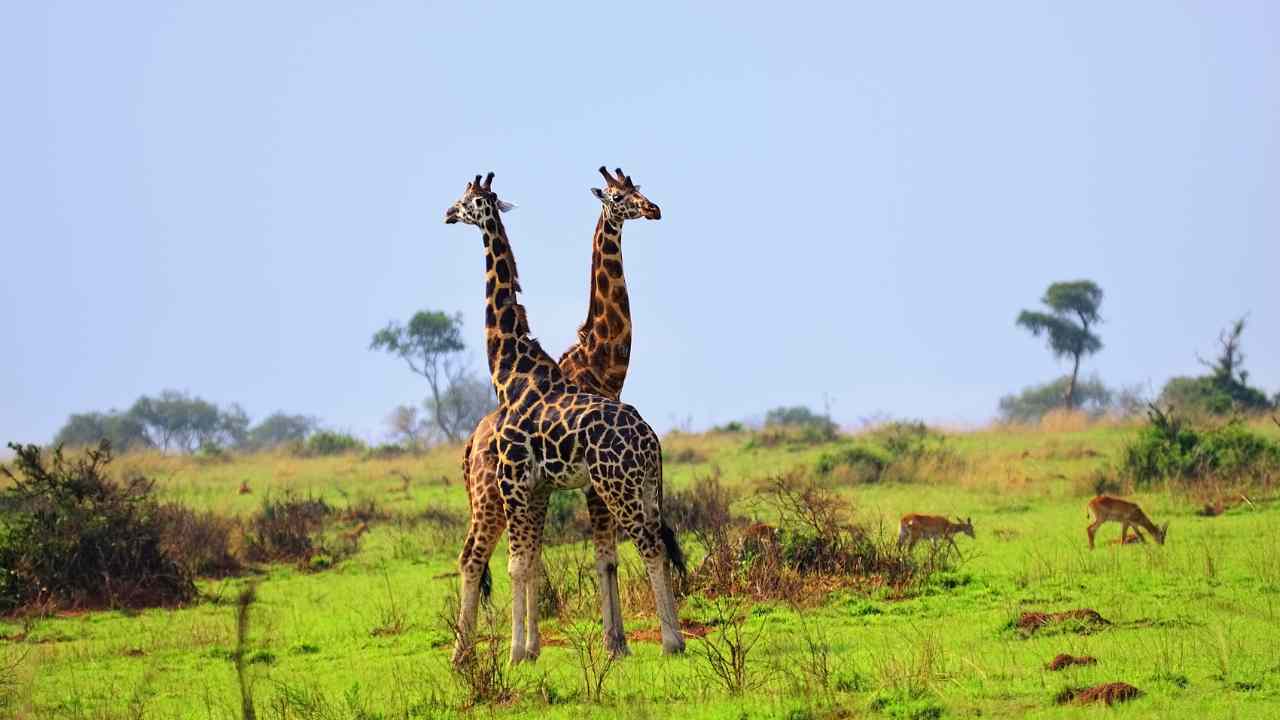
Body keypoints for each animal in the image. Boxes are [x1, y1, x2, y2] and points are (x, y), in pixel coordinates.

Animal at [442, 172, 680, 661]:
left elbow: (536, 563)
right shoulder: (535, 486)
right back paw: (463, 655)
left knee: (649, 545)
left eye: (467, 200)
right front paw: (536, 648)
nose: (447, 213)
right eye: (619, 195)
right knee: (473, 556)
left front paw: (524, 652)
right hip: (626, 489)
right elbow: (536, 561)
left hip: (610, 487)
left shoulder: (525, 482)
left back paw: (671, 641)